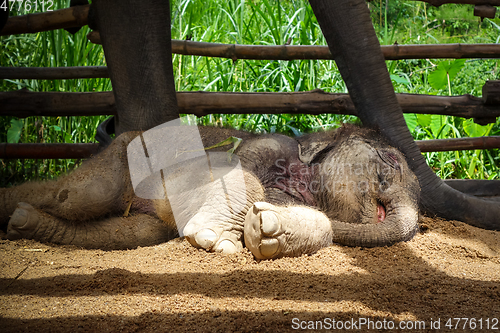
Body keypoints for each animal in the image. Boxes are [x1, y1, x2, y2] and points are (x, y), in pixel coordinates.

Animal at [0, 123, 420, 258]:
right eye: (390, 160)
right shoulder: (259, 147)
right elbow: (237, 174)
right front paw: (213, 238)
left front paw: (265, 231)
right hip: (116, 159)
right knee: (77, 196)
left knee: (130, 233)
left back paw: (23, 223)